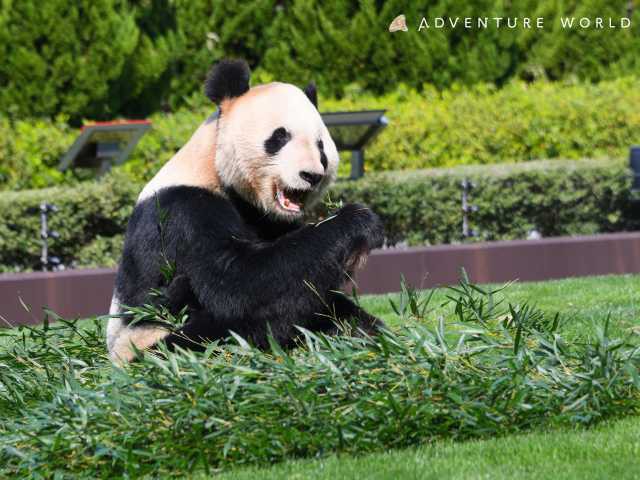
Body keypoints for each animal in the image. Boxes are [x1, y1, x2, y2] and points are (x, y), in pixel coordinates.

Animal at [107, 59, 384, 360]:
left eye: (321, 146)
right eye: (279, 137)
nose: (311, 175)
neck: (212, 167)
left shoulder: (270, 219)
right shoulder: (184, 211)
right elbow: (238, 283)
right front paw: (359, 221)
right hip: (150, 342)